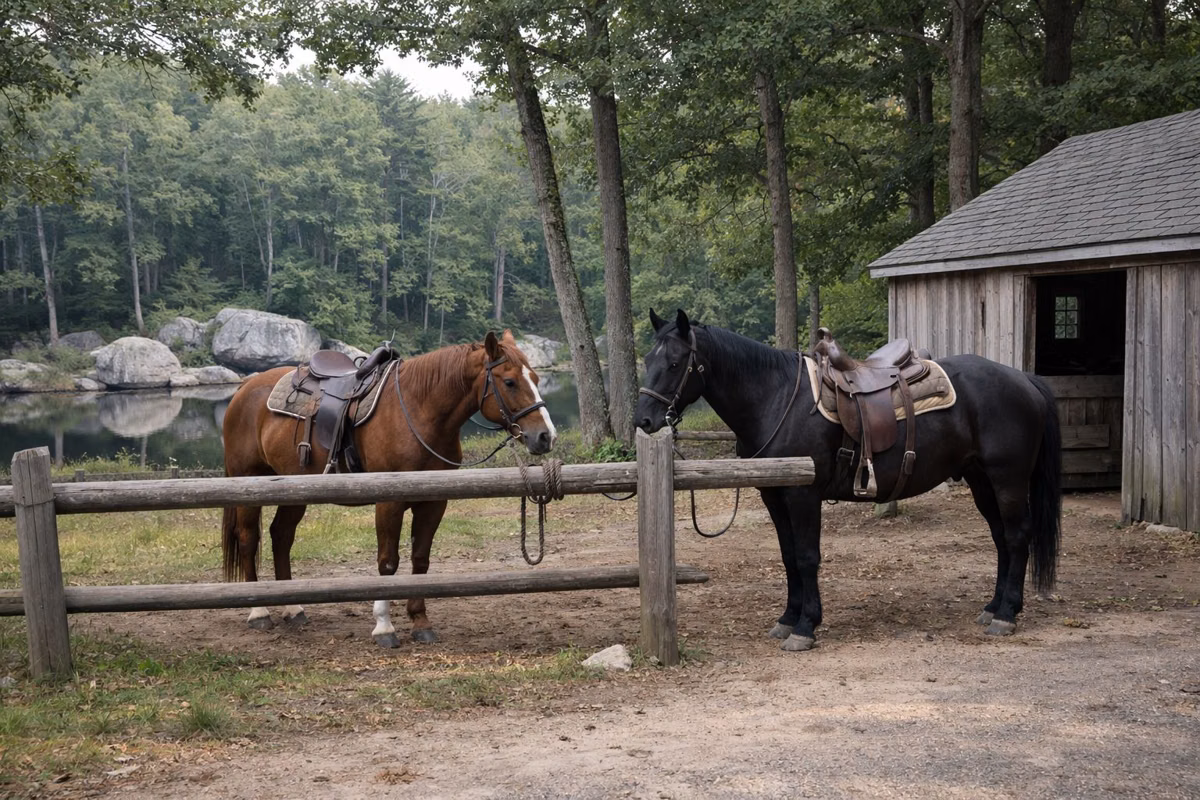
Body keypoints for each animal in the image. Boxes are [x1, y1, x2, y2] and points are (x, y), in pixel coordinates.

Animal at [221, 330, 557, 647]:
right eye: (510, 382)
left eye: (536, 378)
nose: (545, 436)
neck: (418, 411)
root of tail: (244, 389)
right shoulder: (389, 502)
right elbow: (387, 563)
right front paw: (384, 627)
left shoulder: (434, 502)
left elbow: (420, 560)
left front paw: (420, 622)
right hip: (248, 483)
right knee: (249, 538)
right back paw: (259, 612)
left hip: (294, 489)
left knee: (281, 536)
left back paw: (294, 609)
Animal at [635, 309, 1062, 652]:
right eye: (648, 359)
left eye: (675, 362)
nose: (644, 419)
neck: (776, 398)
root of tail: (1024, 379)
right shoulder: (775, 496)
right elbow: (788, 557)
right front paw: (787, 619)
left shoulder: (803, 496)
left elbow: (807, 557)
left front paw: (805, 627)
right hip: (980, 480)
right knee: (1001, 538)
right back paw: (992, 608)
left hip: (1007, 479)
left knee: (1017, 536)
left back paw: (1007, 615)